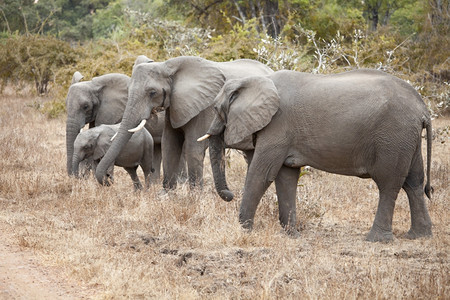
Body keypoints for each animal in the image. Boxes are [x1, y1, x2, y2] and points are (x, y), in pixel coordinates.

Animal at [94, 55, 274, 189]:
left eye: (152, 93)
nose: (108, 179)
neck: (167, 66)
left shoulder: (205, 107)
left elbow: (193, 146)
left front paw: (195, 199)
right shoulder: (174, 104)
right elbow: (169, 144)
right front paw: (167, 196)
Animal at [200, 69, 432, 243]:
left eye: (216, 109)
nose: (229, 194)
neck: (256, 79)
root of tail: (423, 109)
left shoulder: (277, 126)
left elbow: (262, 174)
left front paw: (245, 230)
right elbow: (286, 177)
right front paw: (292, 236)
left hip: (393, 136)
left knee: (388, 184)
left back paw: (376, 239)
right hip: (407, 139)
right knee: (414, 182)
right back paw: (419, 236)